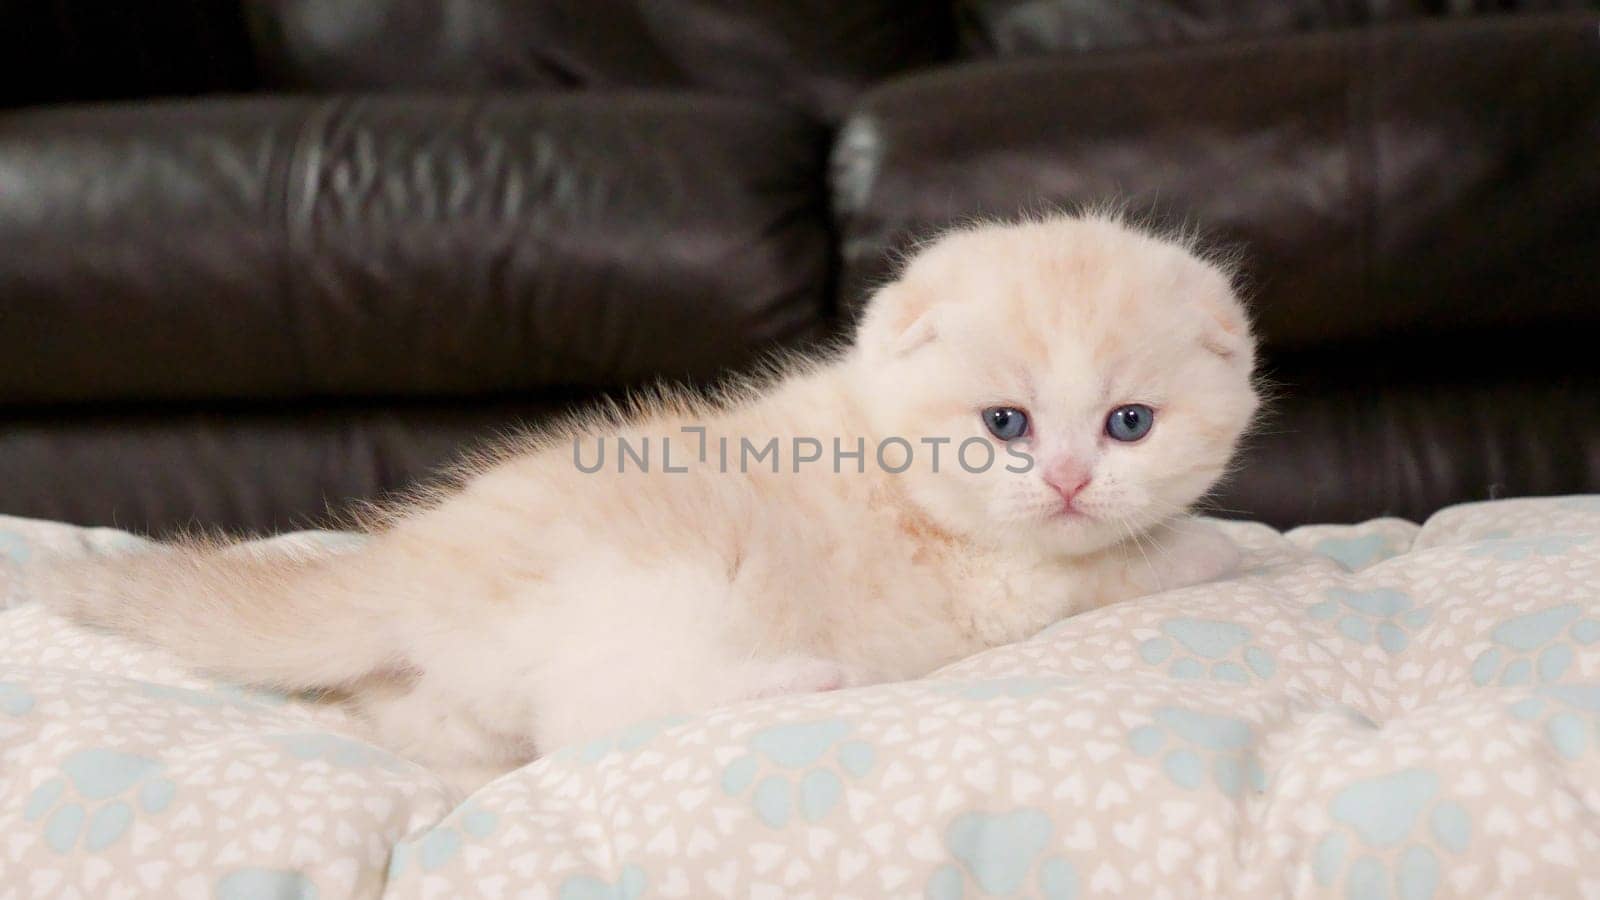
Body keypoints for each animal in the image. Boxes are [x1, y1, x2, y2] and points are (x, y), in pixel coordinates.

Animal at [31, 212, 1260, 787]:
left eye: (1129, 424)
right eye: (1005, 425)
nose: (1068, 479)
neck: (883, 447)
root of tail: (406, 572)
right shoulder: (1009, 584)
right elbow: (1134, 560)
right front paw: (1231, 544)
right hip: (657, 595)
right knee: (592, 716)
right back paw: (803, 679)